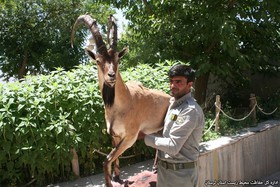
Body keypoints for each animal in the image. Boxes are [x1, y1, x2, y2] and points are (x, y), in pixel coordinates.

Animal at [71, 15, 170, 187]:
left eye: (118, 59)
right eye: (98, 60)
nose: (111, 76)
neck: (122, 104)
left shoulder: (130, 137)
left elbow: (107, 160)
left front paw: (110, 183)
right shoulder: (115, 136)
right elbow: (114, 160)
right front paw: (117, 178)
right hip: (158, 129)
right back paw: (155, 167)